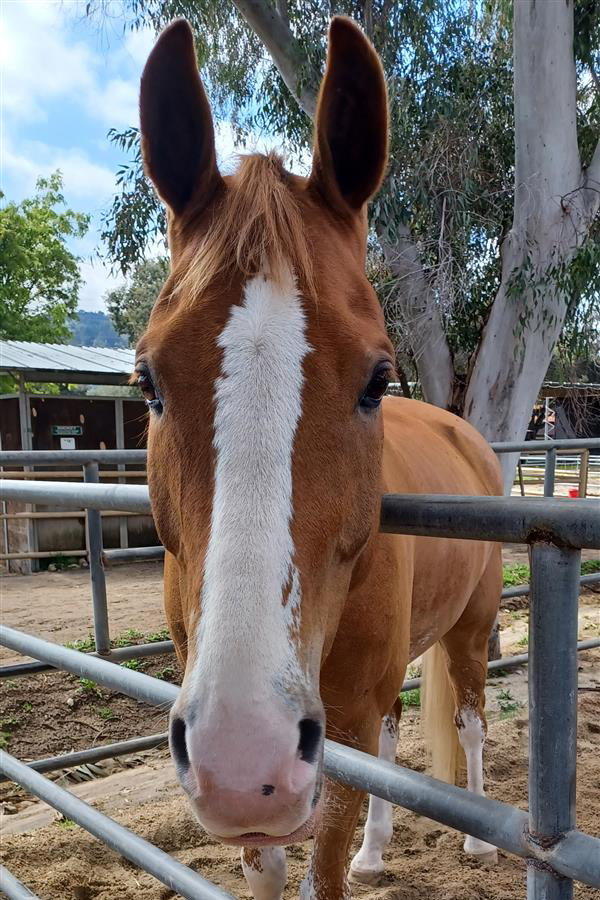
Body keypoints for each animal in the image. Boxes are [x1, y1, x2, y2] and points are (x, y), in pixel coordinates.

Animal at [135, 15, 502, 900]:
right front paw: (361, 850)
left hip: (469, 631)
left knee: (471, 718)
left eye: (376, 380)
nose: (245, 758)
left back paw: (476, 844)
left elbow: (320, 866)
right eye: (148, 381)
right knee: (398, 735)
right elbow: (270, 865)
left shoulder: (336, 732)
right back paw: (379, 849)